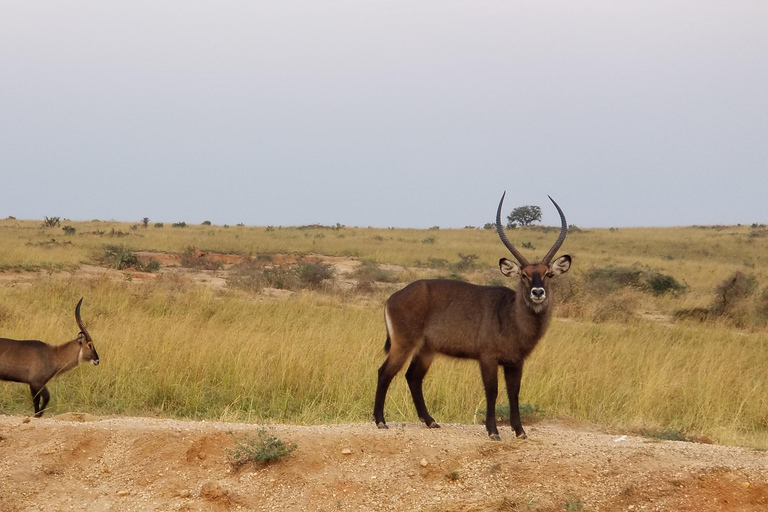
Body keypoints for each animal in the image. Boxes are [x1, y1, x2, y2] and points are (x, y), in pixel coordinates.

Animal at [372, 192, 568, 440]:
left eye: (548, 274)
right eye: (524, 275)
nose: (538, 292)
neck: (511, 315)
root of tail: (393, 297)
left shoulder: (516, 361)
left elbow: (514, 392)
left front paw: (520, 432)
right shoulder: (488, 358)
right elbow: (492, 391)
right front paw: (493, 431)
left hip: (426, 349)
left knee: (413, 377)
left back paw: (430, 421)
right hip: (404, 344)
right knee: (385, 372)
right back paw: (380, 421)